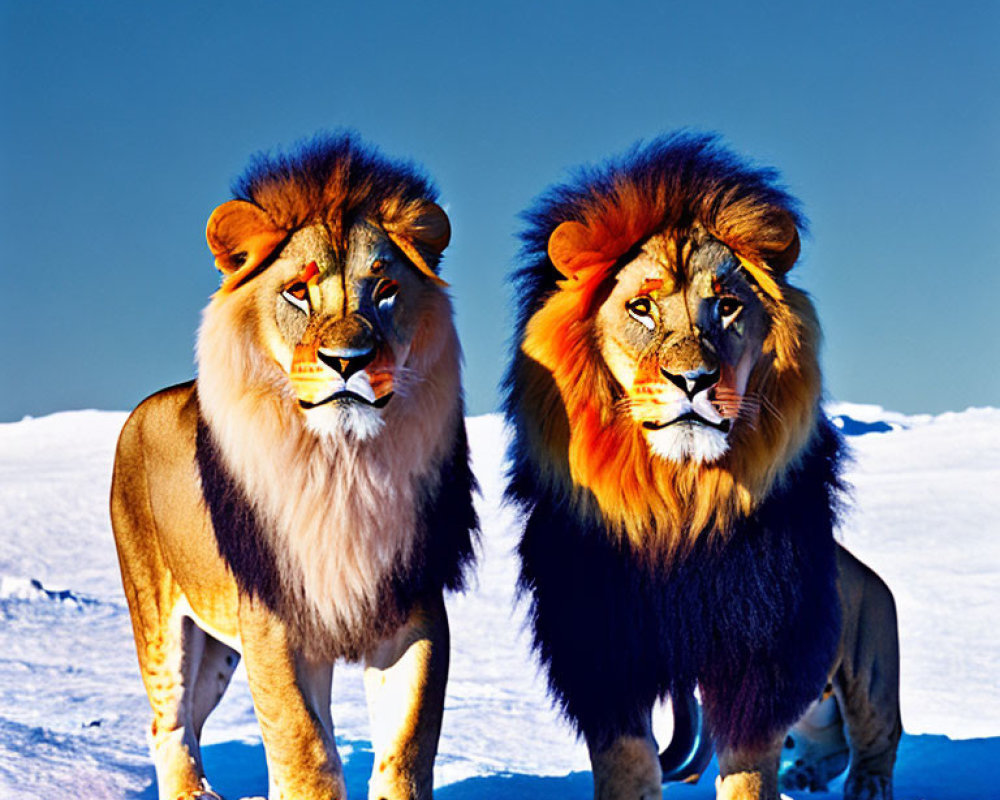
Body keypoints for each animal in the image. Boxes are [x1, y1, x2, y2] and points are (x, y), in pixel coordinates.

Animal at [111, 133, 478, 800]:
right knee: (168, 723)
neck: (343, 466)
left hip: (221, 645)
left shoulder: (411, 612)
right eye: (297, 292)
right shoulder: (276, 621)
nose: (347, 361)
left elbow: (405, 750)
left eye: (385, 290)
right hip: (159, 615)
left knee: (193, 719)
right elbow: (305, 751)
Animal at [504, 131, 904, 800]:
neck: (677, 499)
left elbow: (747, 768)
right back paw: (809, 773)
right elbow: (627, 766)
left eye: (728, 306)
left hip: (871, 661)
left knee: (876, 736)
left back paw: (865, 785)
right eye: (642, 308)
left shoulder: (759, 653)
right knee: (823, 739)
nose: (693, 379)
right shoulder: (606, 653)